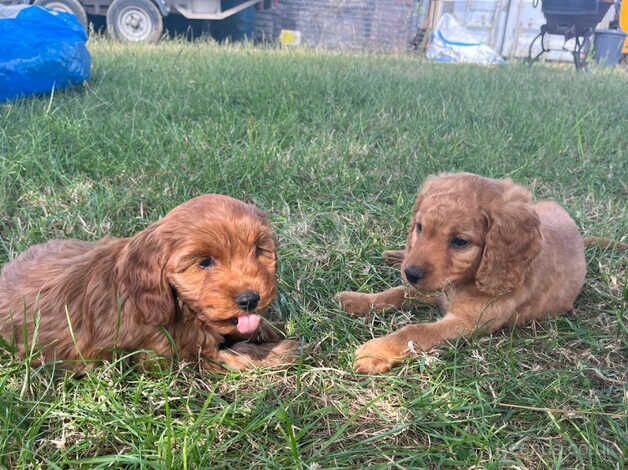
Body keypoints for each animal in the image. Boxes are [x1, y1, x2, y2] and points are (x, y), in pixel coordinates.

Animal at [0, 195, 300, 370]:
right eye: (204, 262)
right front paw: (282, 351)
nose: (250, 299)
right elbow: (236, 356)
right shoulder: (179, 353)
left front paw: (268, 328)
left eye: (258, 250)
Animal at [338, 173, 624, 374]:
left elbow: (415, 331)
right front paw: (358, 300)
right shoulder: (437, 289)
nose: (411, 272)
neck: (464, 281)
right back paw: (395, 254)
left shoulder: (467, 321)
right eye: (419, 227)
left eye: (460, 242)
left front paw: (376, 351)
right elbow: (399, 292)